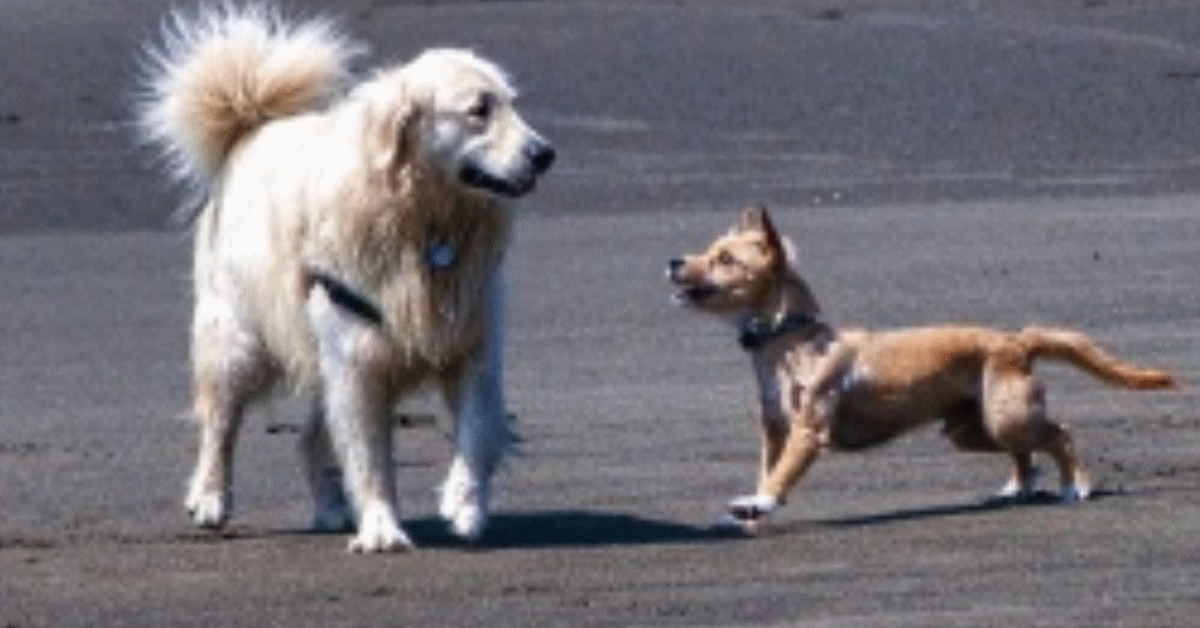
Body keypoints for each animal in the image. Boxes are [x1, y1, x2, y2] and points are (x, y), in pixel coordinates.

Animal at [137, 4, 556, 549]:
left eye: (511, 104)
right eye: (479, 109)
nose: (545, 154)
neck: (425, 219)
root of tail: (251, 127)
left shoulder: (472, 344)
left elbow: (480, 432)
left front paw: (464, 505)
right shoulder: (358, 361)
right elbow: (369, 458)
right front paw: (381, 528)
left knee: (310, 439)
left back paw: (331, 506)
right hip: (237, 339)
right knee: (220, 424)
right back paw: (210, 499)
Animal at [672, 206, 1176, 530]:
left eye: (725, 259)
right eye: (710, 249)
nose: (674, 260)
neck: (787, 340)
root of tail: (1015, 342)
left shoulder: (807, 432)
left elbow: (779, 475)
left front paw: (760, 503)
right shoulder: (774, 431)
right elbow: (767, 469)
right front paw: (747, 513)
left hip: (1007, 418)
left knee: (1061, 434)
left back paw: (1076, 487)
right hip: (973, 429)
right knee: (1026, 454)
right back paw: (1017, 487)